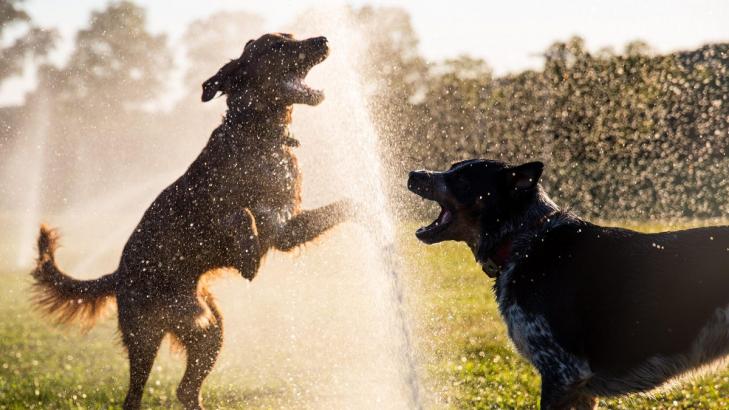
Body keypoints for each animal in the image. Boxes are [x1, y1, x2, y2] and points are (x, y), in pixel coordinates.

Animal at [27, 34, 346, 410]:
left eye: (294, 37)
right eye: (276, 45)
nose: (322, 39)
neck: (260, 135)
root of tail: (118, 273)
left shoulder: (284, 229)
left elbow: (344, 206)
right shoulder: (218, 210)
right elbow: (240, 214)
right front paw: (249, 256)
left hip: (209, 328)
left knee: (186, 390)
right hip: (146, 334)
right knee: (135, 397)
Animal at [406, 160, 728, 410]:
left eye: (461, 179)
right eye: (451, 168)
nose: (413, 174)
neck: (525, 241)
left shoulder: (564, 372)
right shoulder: (579, 388)